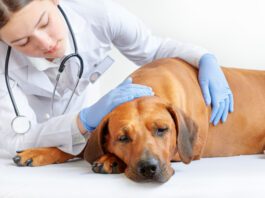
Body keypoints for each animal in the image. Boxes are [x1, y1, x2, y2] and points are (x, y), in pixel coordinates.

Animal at [12, 58, 264, 183]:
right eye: (123, 137)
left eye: (162, 129)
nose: (149, 168)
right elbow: (78, 146)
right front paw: (38, 152)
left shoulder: (189, 151)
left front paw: (110, 159)